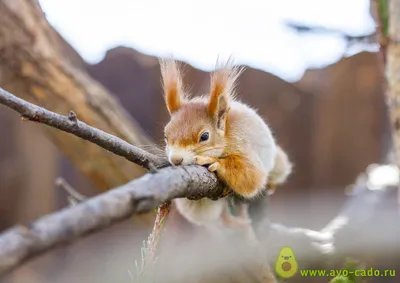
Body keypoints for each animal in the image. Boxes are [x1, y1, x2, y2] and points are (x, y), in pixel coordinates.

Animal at [159, 58, 294, 242]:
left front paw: (214, 162)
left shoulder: (243, 141)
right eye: (166, 136)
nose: (176, 160)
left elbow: (252, 176)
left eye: (205, 136)